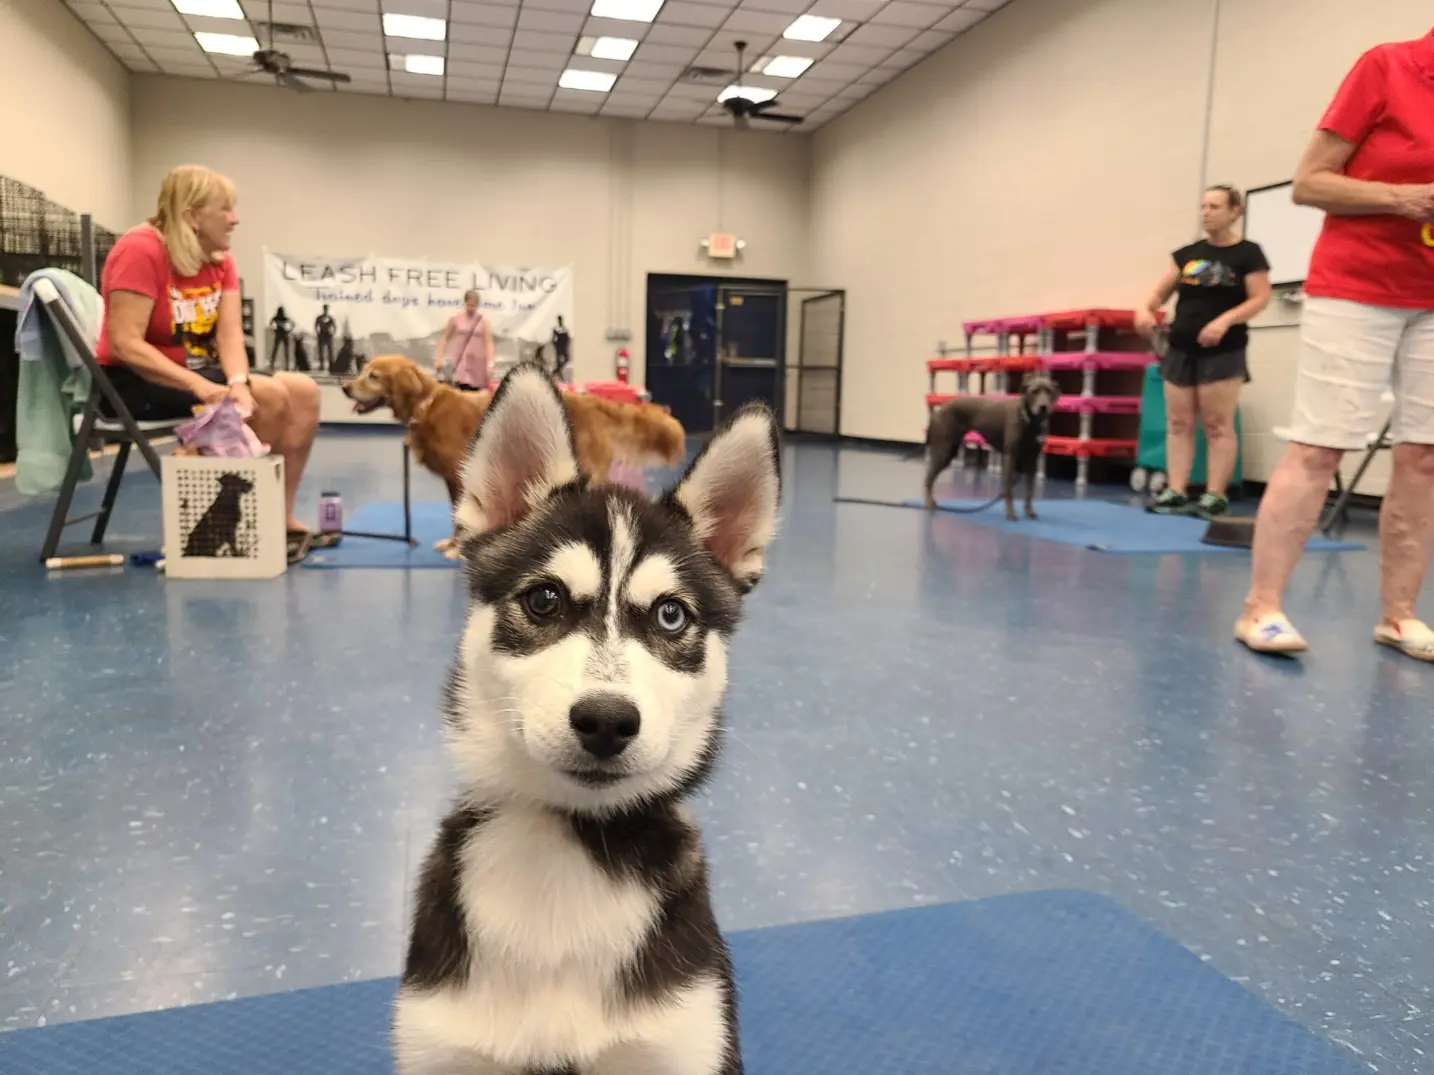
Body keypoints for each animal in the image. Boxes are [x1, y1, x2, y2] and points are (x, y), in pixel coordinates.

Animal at [923, 375, 1061, 521]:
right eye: (1034, 391)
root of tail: (938, 411)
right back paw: (930, 503)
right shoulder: (1010, 457)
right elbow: (1008, 490)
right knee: (928, 479)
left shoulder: (1032, 460)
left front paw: (1029, 512)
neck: (1029, 420)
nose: (1043, 407)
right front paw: (1010, 513)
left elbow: (1029, 491)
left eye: (1049, 391)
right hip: (944, 452)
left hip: (950, 451)